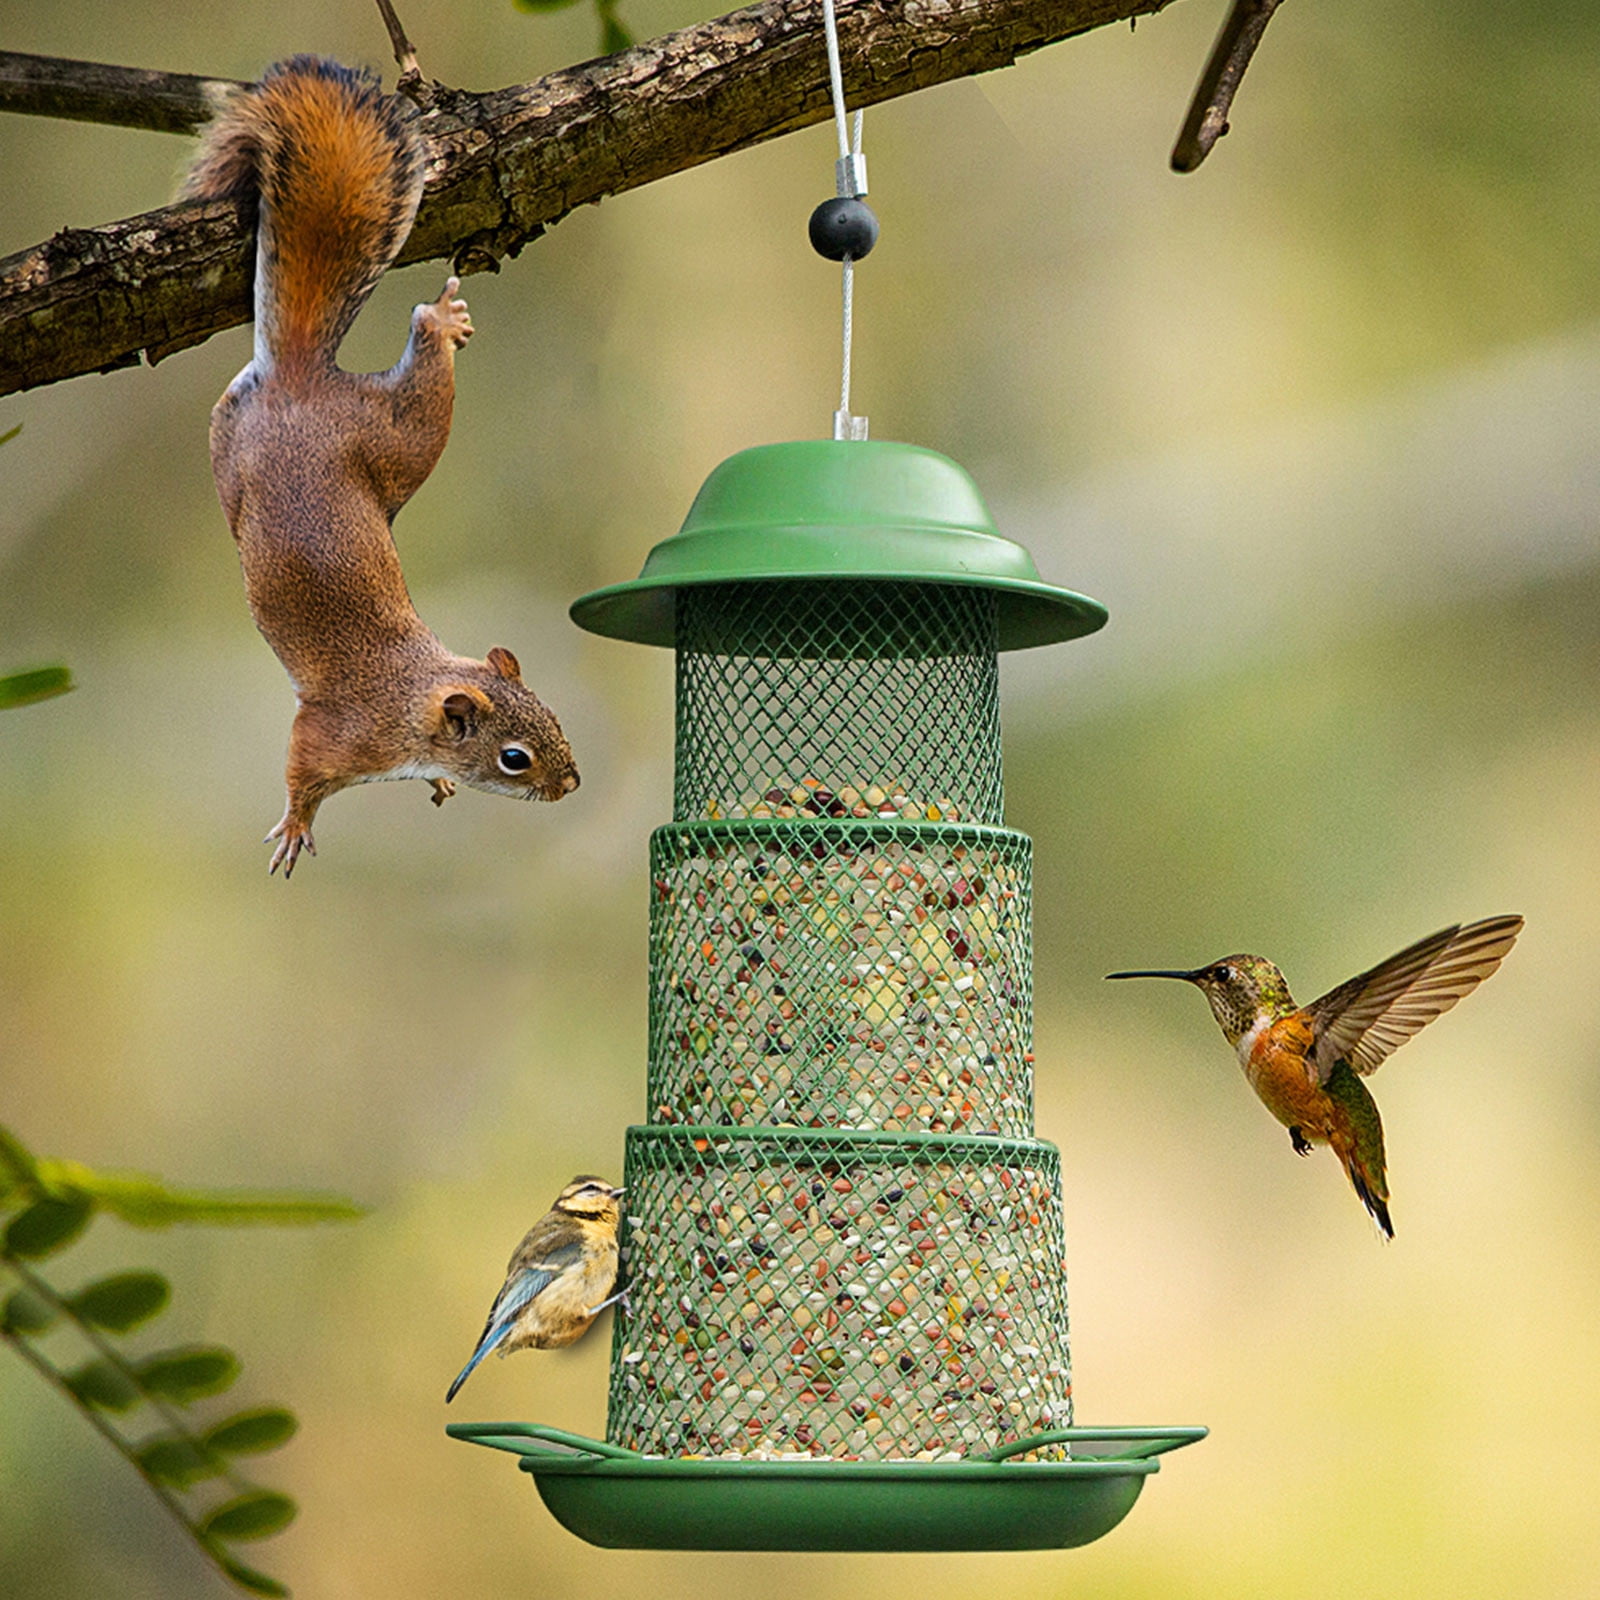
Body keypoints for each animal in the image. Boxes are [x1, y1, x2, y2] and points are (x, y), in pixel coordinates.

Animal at [184, 56, 579, 877]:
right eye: (516, 758)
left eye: (555, 716)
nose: (572, 783)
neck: (415, 702)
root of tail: (302, 379)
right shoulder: (335, 734)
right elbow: (302, 772)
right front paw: (296, 824)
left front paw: (438, 785)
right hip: (380, 441)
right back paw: (440, 319)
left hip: (383, 444)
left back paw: (445, 321)